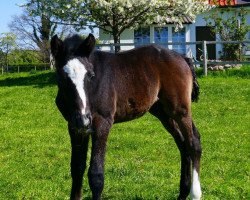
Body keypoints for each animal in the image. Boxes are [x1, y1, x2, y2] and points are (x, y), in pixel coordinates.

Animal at [50, 33, 201, 199]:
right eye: (61, 77)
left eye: (91, 75)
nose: (84, 118)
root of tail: (182, 57)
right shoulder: (74, 126)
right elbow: (77, 168)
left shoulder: (102, 122)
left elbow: (96, 174)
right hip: (163, 113)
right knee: (182, 143)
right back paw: (183, 193)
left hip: (180, 110)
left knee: (193, 142)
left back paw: (195, 193)